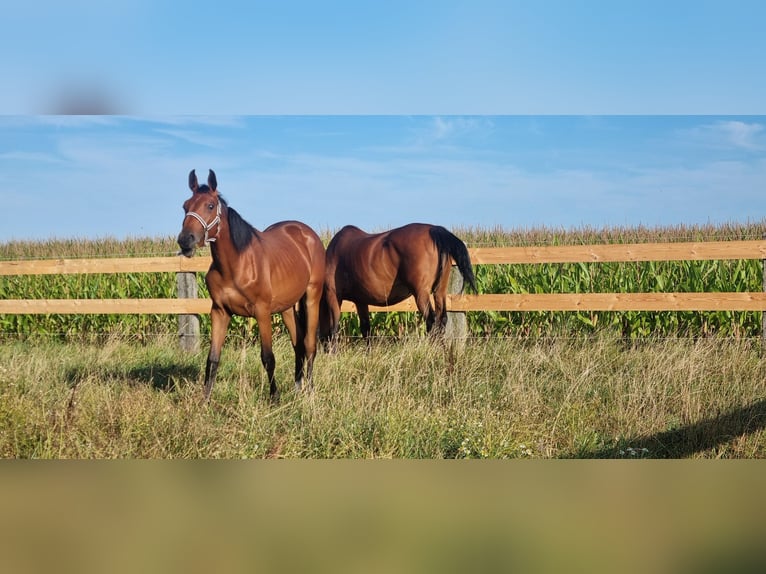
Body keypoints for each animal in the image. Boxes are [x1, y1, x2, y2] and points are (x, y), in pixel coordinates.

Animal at [320, 223, 476, 344]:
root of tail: (435, 230)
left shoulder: (333, 296)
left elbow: (334, 329)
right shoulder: (361, 301)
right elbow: (366, 329)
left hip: (421, 294)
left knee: (431, 321)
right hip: (439, 291)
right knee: (441, 320)